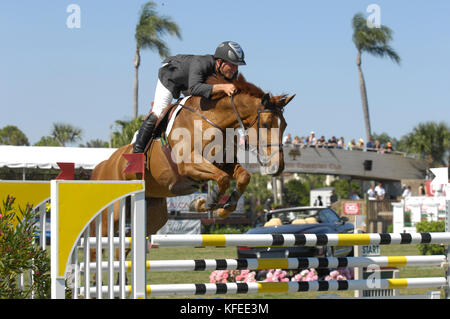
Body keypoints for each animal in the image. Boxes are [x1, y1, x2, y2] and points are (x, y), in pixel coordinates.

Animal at [90, 73, 296, 242]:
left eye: (285, 125)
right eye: (266, 124)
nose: (278, 166)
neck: (211, 121)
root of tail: (103, 165)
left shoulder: (224, 163)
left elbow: (242, 176)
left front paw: (223, 207)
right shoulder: (188, 165)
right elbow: (222, 179)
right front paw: (205, 203)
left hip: (152, 213)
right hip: (111, 215)